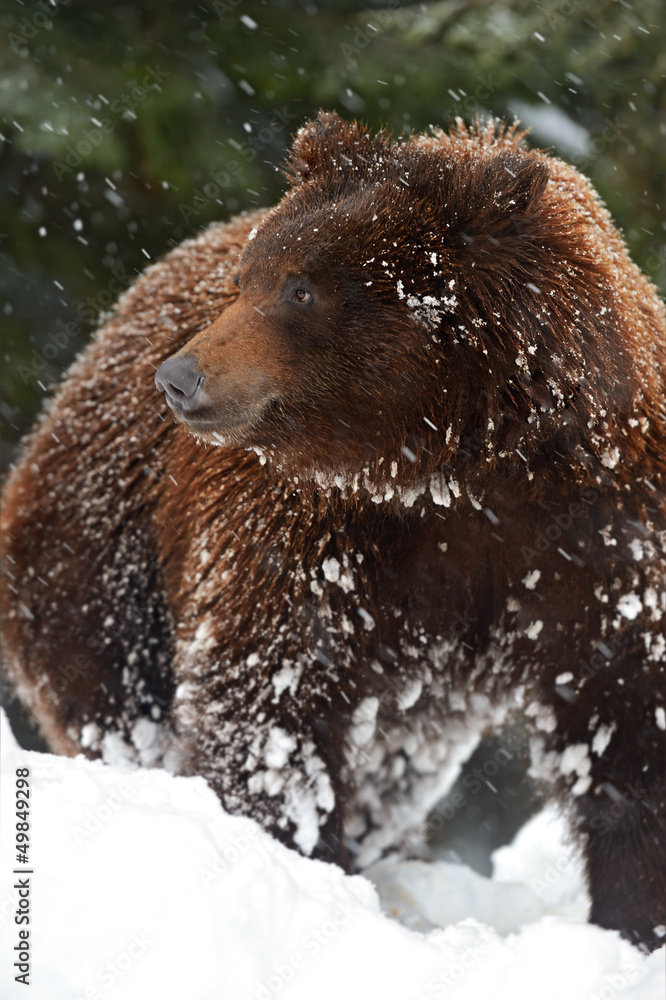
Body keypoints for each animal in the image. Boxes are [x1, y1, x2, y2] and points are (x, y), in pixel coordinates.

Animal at [1, 113, 664, 948]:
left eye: (301, 287)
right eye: (248, 278)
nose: (178, 377)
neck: (460, 468)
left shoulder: (600, 538)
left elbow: (627, 722)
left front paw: (634, 919)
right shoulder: (314, 539)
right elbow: (273, 698)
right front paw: (296, 859)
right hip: (103, 547)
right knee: (117, 693)